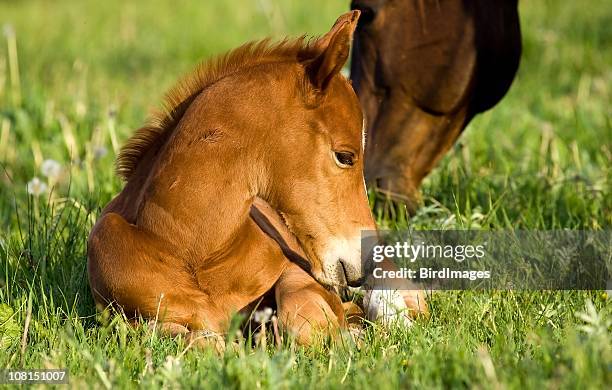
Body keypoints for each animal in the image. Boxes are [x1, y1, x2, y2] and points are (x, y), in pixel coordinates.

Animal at [89, 9, 426, 348]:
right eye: (345, 156)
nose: (365, 259)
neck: (193, 249)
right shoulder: (126, 319)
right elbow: (196, 339)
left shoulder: (299, 274)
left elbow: (298, 313)